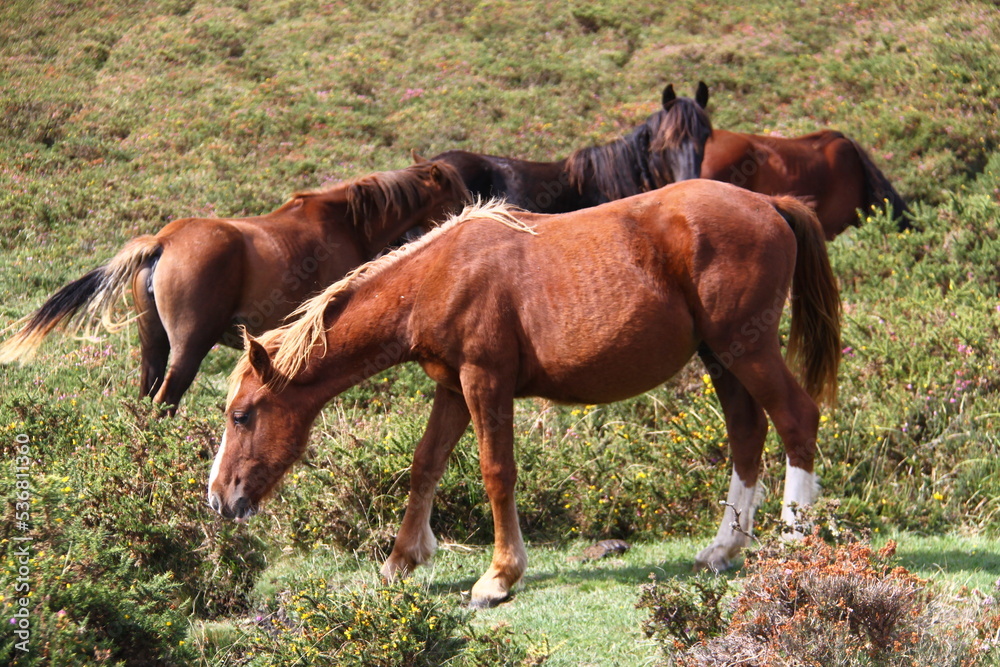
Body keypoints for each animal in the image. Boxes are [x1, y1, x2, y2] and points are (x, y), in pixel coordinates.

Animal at [0, 161, 470, 414]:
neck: (345, 224)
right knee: (164, 401)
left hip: (152, 343)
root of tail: (164, 241)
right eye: (458, 199)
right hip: (189, 347)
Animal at [208, 178, 842, 609]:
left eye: (242, 416)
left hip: (745, 349)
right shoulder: (453, 387)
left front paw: (497, 577)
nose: (218, 499)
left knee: (796, 419)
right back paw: (723, 549)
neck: (438, 275)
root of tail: (769, 204)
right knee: (747, 433)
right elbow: (425, 464)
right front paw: (401, 560)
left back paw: (794, 545)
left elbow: (497, 471)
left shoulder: (484, 380)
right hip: (721, 356)